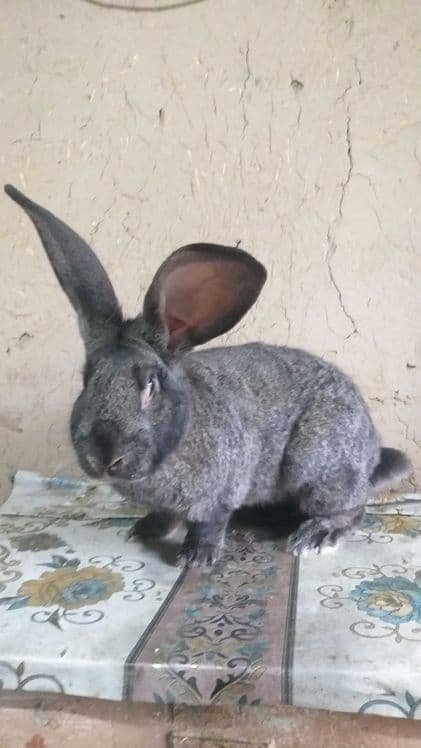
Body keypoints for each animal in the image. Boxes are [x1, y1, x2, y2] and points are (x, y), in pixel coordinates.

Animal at [5, 184, 412, 567]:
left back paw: (314, 537)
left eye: (150, 385)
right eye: (87, 378)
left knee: (351, 507)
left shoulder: (220, 493)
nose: (104, 458)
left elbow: (209, 524)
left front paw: (196, 558)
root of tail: (372, 452)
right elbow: (166, 515)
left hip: (314, 464)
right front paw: (144, 530)